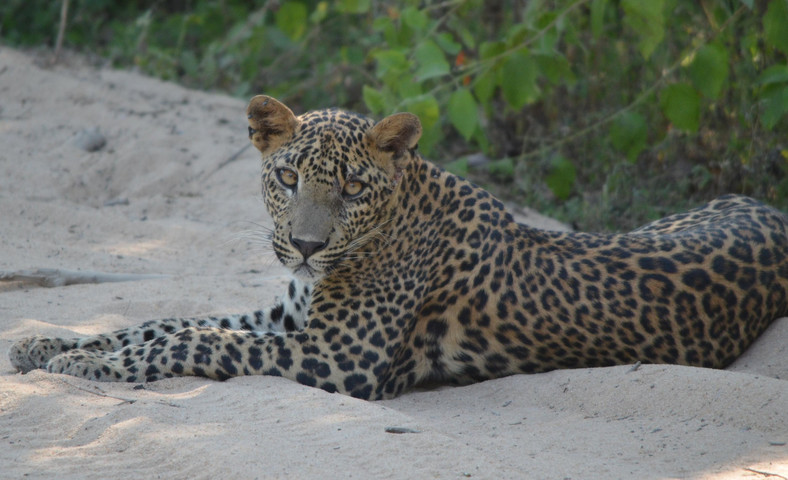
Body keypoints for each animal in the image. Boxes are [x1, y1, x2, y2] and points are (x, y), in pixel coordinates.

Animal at [9, 95, 788, 400]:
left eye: (353, 187)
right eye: (287, 178)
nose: (304, 246)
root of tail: (765, 205)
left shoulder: (339, 355)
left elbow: (194, 340)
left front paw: (89, 364)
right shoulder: (285, 318)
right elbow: (163, 321)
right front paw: (50, 344)